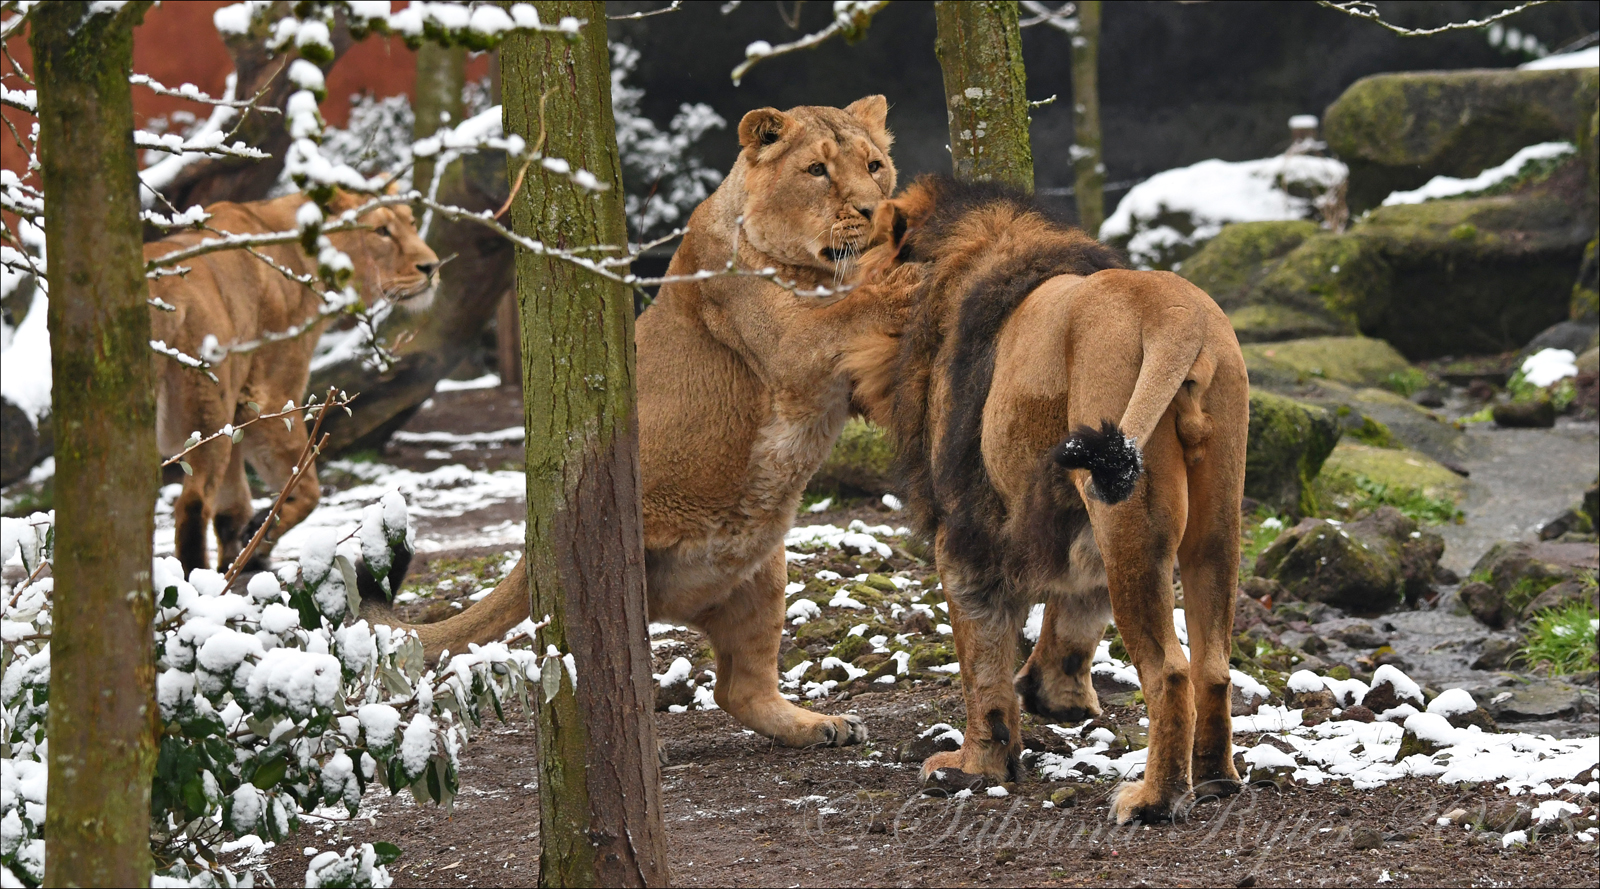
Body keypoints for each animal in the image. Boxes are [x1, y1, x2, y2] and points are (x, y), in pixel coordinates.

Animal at [148, 191, 441, 572]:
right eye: (381, 231)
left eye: (410, 222)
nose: (432, 267)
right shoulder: (269, 395)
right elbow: (306, 487)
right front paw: (258, 535)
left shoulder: (237, 417)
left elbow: (233, 506)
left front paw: (244, 554)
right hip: (207, 410)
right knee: (193, 505)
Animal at [360, 99, 915, 751]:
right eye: (817, 171)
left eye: (875, 166)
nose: (875, 210)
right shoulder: (789, 344)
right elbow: (848, 313)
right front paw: (907, 278)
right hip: (617, 584)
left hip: (766, 572)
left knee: (739, 690)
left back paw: (818, 725)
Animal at [844, 175, 1254, 825]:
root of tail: (1177, 314)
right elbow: (1078, 607)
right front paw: (1056, 696)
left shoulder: (967, 533)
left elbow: (982, 665)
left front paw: (975, 767)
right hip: (1211, 516)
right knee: (1213, 665)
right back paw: (1215, 780)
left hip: (1125, 511)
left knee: (1170, 672)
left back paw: (1153, 800)